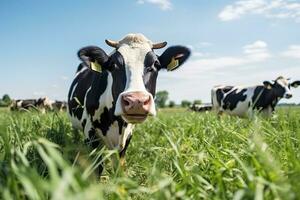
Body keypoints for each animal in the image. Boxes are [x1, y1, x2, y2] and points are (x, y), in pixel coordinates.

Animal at [67, 33, 190, 173]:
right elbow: (97, 168)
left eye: (156, 64)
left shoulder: (127, 136)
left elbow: (119, 167)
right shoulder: (90, 132)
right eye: (113, 65)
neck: (118, 123)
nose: (137, 100)